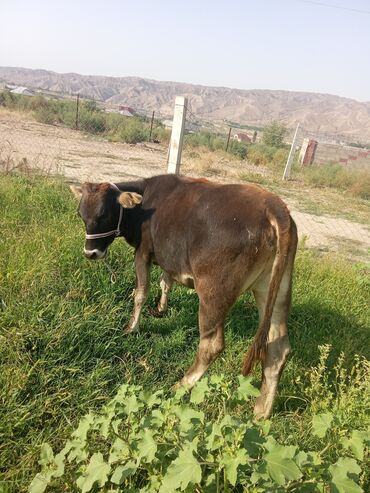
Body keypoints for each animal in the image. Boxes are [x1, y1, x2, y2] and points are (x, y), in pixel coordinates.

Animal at [71, 175, 298, 418]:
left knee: (211, 345)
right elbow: (165, 282)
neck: (144, 205)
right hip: (275, 289)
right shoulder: (167, 258)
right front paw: (161, 308)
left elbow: (141, 292)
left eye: (104, 214)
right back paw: (261, 410)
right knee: (278, 349)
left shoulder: (143, 251)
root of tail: (274, 207)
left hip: (213, 291)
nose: (90, 253)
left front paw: (132, 327)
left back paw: (182, 384)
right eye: (81, 214)